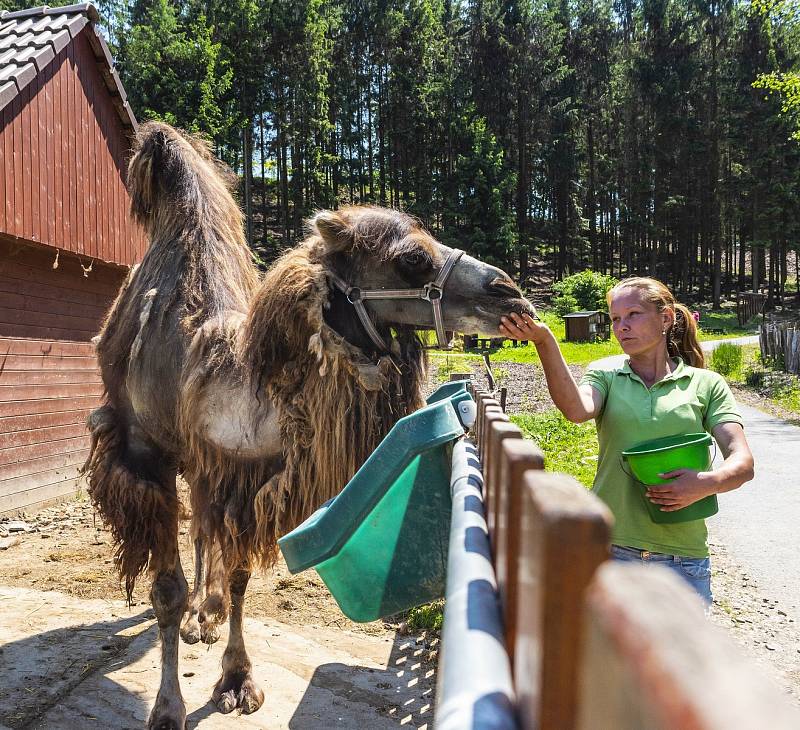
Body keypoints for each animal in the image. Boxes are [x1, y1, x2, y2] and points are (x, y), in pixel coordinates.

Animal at [81, 122, 536, 724]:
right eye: (412, 258)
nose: (510, 293)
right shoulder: (146, 456)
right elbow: (165, 592)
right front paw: (167, 707)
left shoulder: (247, 469)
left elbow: (240, 572)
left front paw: (236, 680)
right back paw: (196, 618)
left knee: (205, 530)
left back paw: (208, 614)